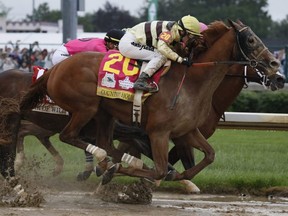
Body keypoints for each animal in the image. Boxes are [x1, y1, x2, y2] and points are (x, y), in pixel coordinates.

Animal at [19, 19, 280, 184]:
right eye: (251, 40)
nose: (276, 66)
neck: (192, 81)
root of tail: (55, 69)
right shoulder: (159, 133)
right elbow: (160, 170)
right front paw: (118, 171)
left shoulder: (186, 131)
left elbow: (207, 156)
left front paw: (179, 177)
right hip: (86, 108)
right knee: (70, 136)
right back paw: (103, 162)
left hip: (104, 115)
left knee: (105, 143)